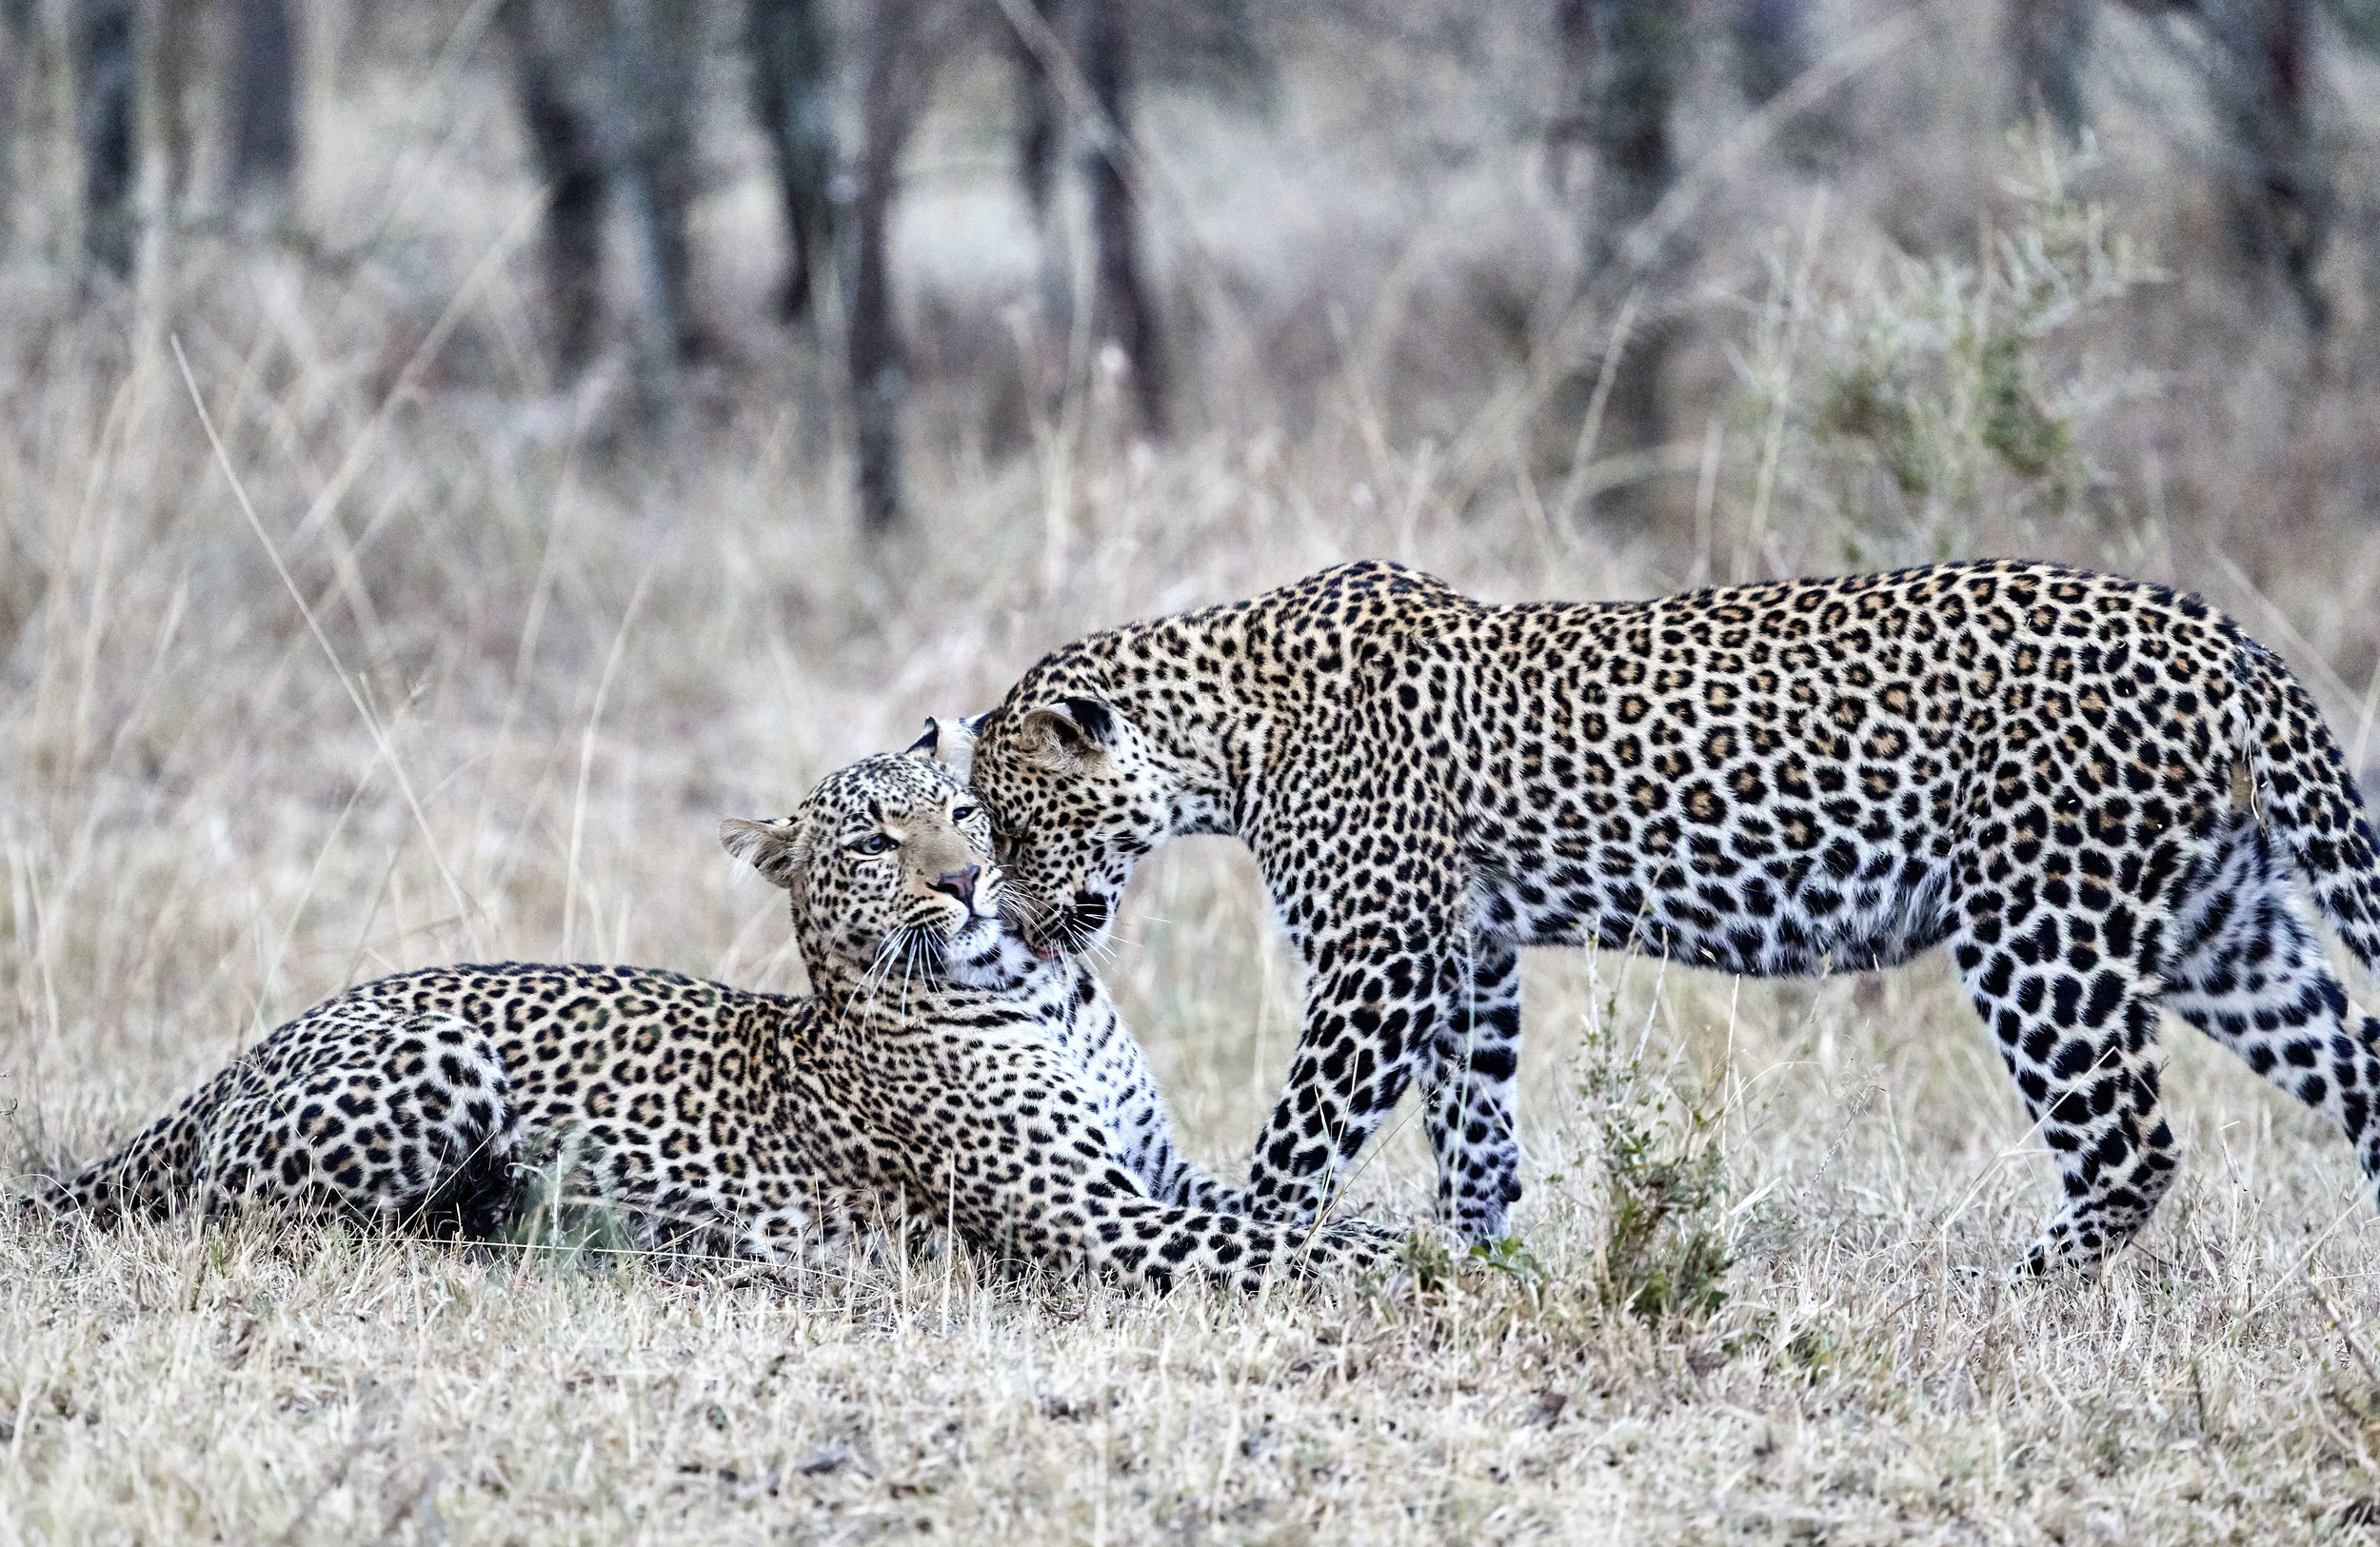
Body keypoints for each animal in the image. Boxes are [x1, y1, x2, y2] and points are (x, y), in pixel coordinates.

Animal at [32, 747, 1390, 1285]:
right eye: (874, 840)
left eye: (960, 809)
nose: (962, 879)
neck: (1034, 986)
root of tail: (256, 1044)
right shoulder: (1095, 1215)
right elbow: (1282, 1245)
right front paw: (1399, 1260)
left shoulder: (1150, 1169)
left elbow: (1276, 1208)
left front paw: (1409, 1223)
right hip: (438, 1063)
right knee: (257, 1217)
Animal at [952, 559, 2380, 1276]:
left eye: (1011, 831)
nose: (1011, 921)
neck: (1226, 730)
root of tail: (2225, 639)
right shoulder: (1469, 952)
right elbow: (1475, 1135)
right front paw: (1473, 1267)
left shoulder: (1380, 961)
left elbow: (1298, 1146)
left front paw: (1244, 1264)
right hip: (2222, 928)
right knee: (2358, 1069)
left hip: (2041, 929)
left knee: (2130, 1145)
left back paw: (2007, 1291)